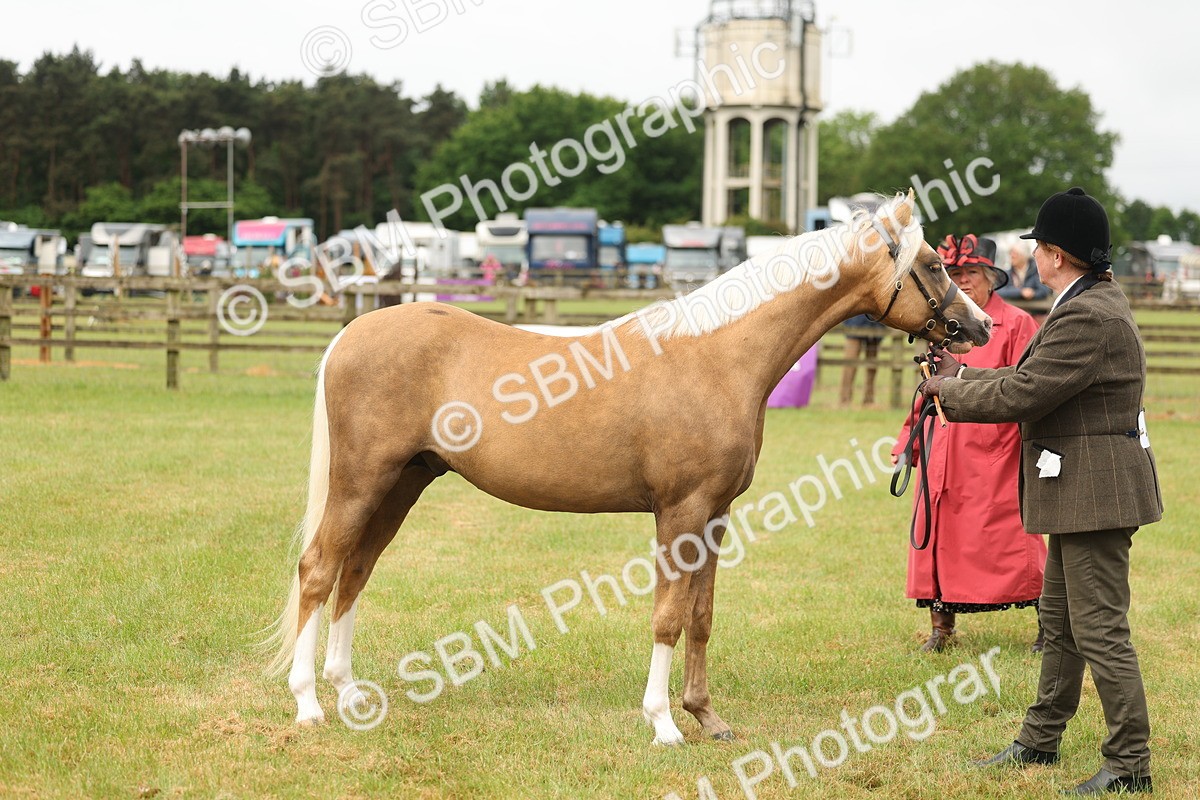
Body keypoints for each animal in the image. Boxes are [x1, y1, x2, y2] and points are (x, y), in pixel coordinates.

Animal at [265, 191, 993, 744]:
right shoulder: (681, 512)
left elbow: (701, 616)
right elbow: (668, 616)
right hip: (362, 482)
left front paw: (707, 718)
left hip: (402, 483)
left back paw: (349, 695)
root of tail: (352, 333)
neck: (717, 356)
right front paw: (664, 724)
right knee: (319, 571)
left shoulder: (716, 517)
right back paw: (308, 704)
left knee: (355, 574)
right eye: (933, 264)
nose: (980, 326)